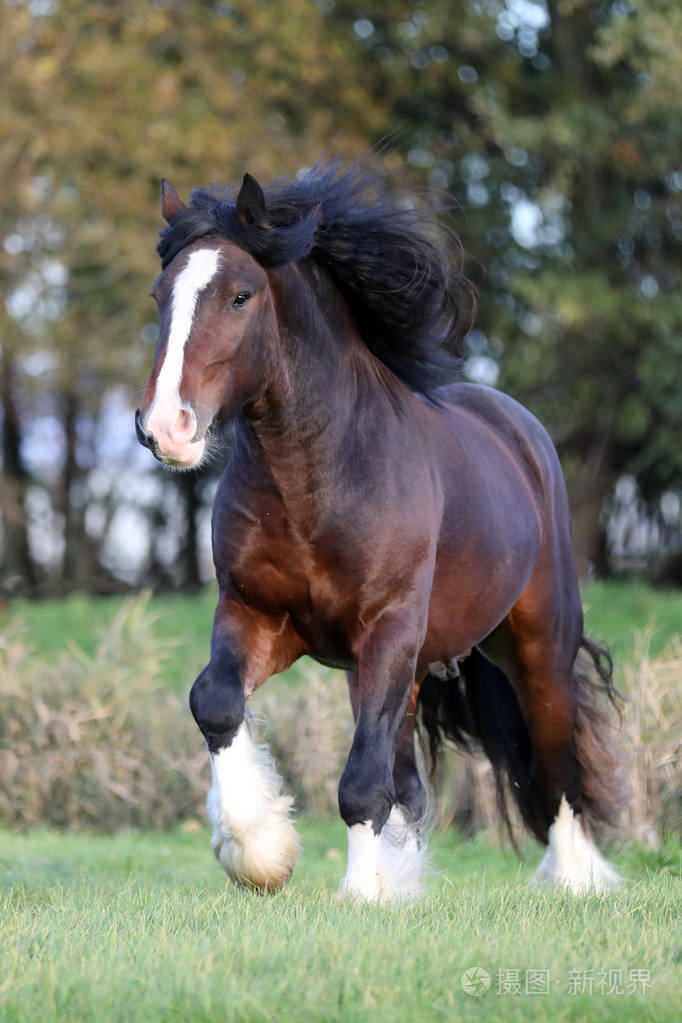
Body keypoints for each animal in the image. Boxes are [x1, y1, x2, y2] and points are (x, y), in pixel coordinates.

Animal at [135, 158, 626, 900]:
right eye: (161, 294)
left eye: (241, 296)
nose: (166, 427)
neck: (318, 476)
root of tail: (519, 429)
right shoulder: (260, 615)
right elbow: (216, 701)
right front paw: (259, 851)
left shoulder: (388, 630)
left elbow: (361, 781)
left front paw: (362, 893)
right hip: (400, 668)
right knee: (412, 777)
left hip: (536, 640)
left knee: (555, 761)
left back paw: (573, 879)